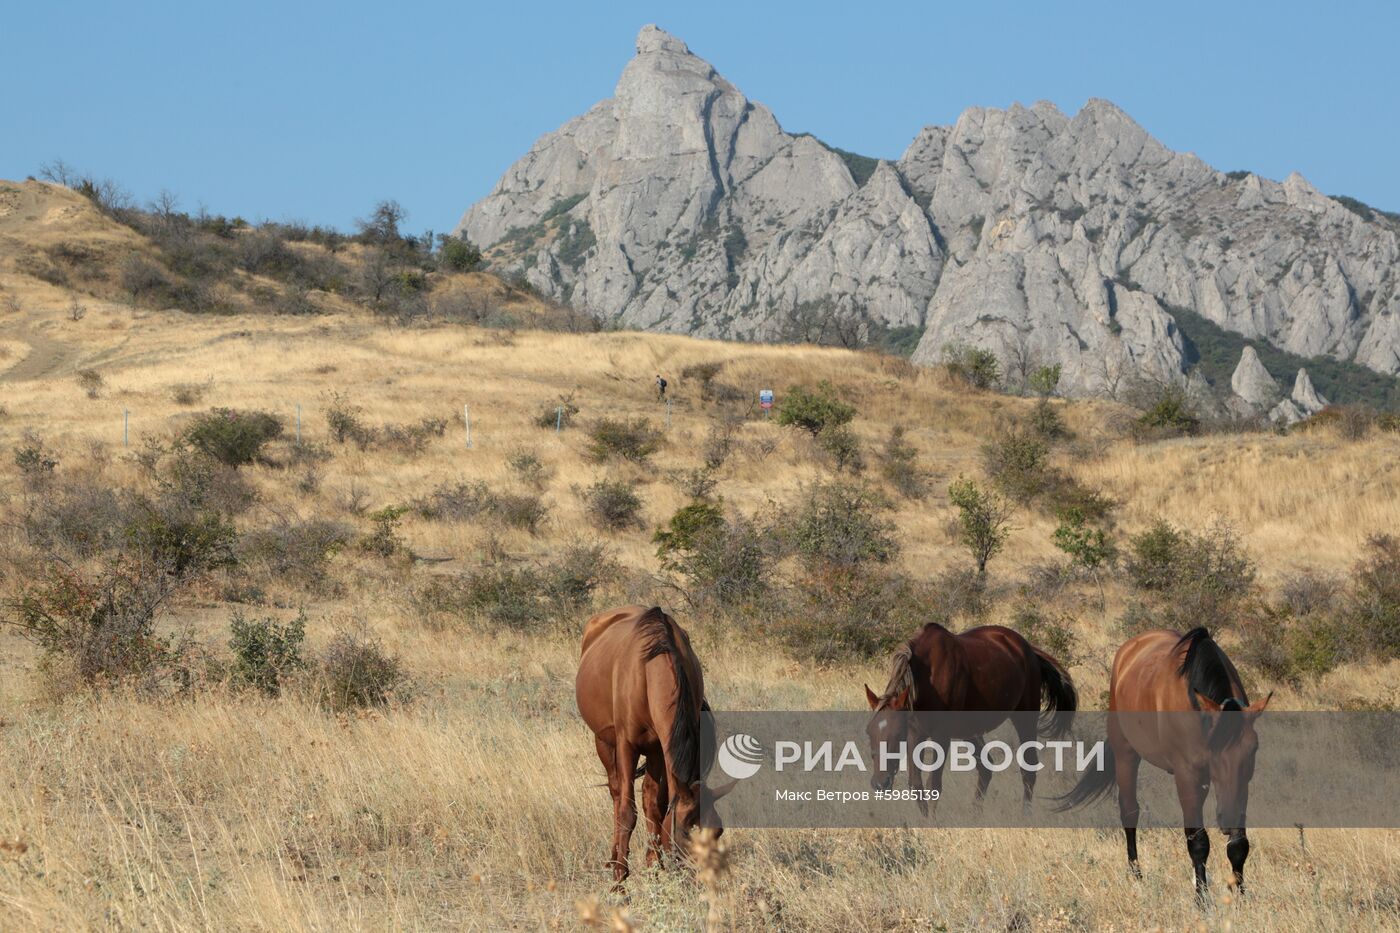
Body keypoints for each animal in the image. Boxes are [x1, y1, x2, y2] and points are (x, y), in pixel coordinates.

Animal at [574, 607, 739, 885]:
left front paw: (654, 866)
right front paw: (620, 880)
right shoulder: (627, 746)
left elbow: (655, 807)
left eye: (718, 830)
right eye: (687, 829)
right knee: (616, 794)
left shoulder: (660, 748)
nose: (707, 879)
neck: (649, 669)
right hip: (604, 743)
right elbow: (628, 812)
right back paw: (614, 859)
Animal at [856, 622, 1075, 812]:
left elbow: (934, 784)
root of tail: (1029, 649)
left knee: (1028, 770)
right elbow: (916, 785)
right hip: (970, 731)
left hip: (1024, 719)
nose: (879, 783)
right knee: (986, 769)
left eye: (897, 733)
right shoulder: (916, 734)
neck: (929, 676)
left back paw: (1025, 814)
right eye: (868, 732)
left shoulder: (941, 736)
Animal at [1052, 624, 1276, 896]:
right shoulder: (1187, 776)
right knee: (1129, 810)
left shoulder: (1238, 784)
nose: (1226, 819)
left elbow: (1238, 844)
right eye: (1213, 748)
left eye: (1253, 750)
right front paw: (1202, 899)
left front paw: (1241, 895)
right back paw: (1136, 874)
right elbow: (1198, 841)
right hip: (1126, 753)